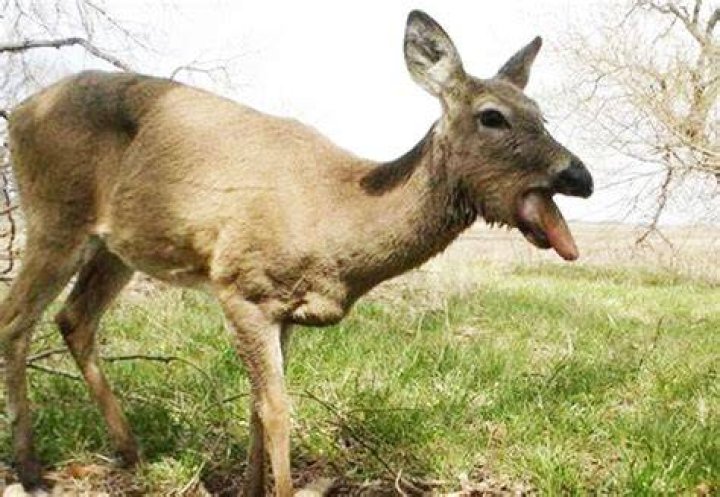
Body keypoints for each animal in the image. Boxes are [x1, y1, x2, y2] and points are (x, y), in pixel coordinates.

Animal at [0, 10, 592, 497]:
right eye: (493, 116)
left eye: (540, 112)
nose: (579, 176)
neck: (338, 216)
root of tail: (20, 111)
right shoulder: (240, 285)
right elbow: (277, 409)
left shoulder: (283, 309)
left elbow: (256, 411)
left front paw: (250, 488)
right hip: (54, 215)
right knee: (16, 319)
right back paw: (30, 469)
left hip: (118, 244)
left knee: (74, 319)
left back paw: (129, 453)